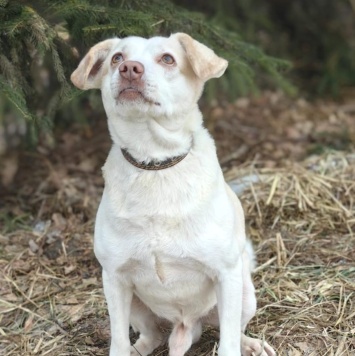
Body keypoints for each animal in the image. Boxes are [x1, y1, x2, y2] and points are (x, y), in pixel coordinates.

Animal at [71, 32, 276, 356]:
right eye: (117, 57)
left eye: (168, 58)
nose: (129, 68)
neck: (155, 165)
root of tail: (185, 327)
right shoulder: (114, 279)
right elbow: (118, 341)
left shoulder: (226, 274)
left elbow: (229, 341)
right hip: (137, 306)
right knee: (152, 335)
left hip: (244, 294)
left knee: (232, 330)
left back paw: (252, 344)